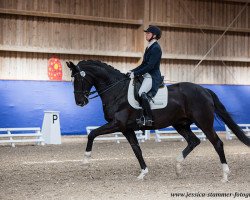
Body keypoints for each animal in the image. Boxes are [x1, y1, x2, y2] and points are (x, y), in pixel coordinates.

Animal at [67, 59, 250, 181]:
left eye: (79, 79)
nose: (80, 102)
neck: (116, 91)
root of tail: (204, 89)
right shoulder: (126, 129)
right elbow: (137, 149)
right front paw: (143, 173)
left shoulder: (117, 124)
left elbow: (92, 134)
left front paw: (85, 161)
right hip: (180, 124)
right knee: (193, 141)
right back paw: (178, 167)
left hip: (203, 122)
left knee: (217, 143)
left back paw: (225, 175)